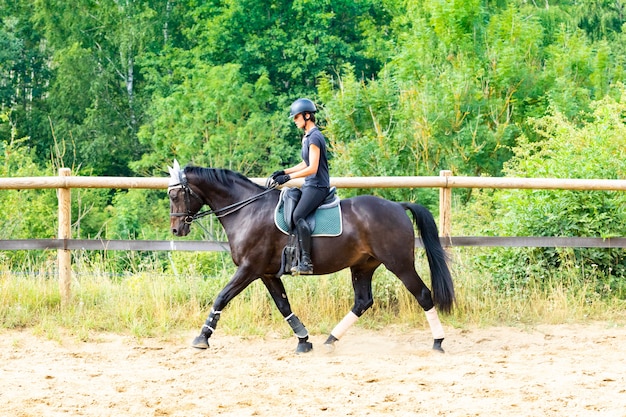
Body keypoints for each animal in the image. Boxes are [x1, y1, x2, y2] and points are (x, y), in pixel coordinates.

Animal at [167, 161, 454, 352]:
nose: (176, 230)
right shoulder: (266, 273)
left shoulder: (249, 269)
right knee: (363, 301)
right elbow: (284, 306)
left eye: (175, 194)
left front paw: (202, 338)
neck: (248, 210)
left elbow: (222, 297)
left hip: (399, 263)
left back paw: (438, 341)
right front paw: (304, 340)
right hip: (363, 265)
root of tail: (398, 206)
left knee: (422, 294)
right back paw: (330, 340)